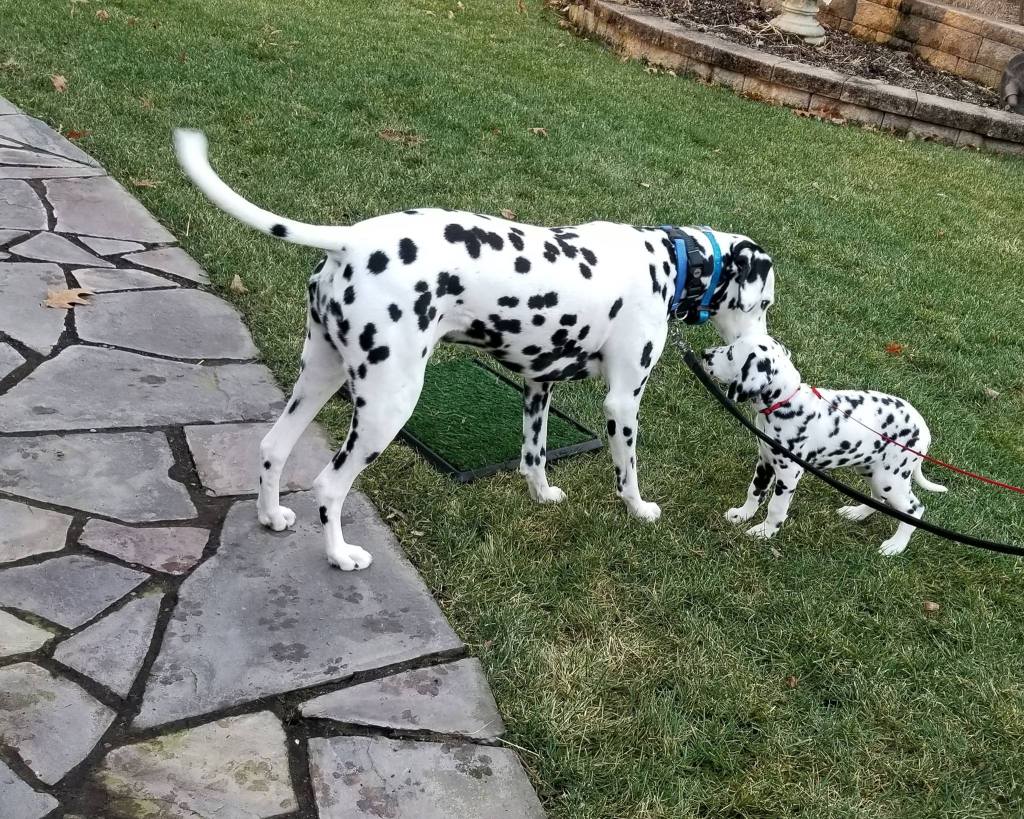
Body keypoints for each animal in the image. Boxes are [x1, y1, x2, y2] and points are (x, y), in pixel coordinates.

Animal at [174, 129, 777, 569]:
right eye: (764, 302)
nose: (765, 342)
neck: (669, 260)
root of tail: (352, 240)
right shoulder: (623, 402)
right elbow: (626, 470)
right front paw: (640, 510)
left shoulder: (538, 385)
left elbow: (533, 456)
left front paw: (542, 496)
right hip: (387, 407)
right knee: (328, 484)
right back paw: (341, 556)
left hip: (318, 377)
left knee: (273, 448)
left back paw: (271, 516)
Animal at [701, 335, 946, 555]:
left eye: (730, 353)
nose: (704, 354)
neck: (787, 402)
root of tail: (924, 430)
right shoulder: (765, 460)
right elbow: (755, 491)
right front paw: (742, 515)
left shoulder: (788, 473)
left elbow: (776, 508)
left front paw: (764, 532)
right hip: (871, 470)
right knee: (878, 498)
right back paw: (856, 513)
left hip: (890, 478)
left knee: (914, 510)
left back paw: (895, 546)